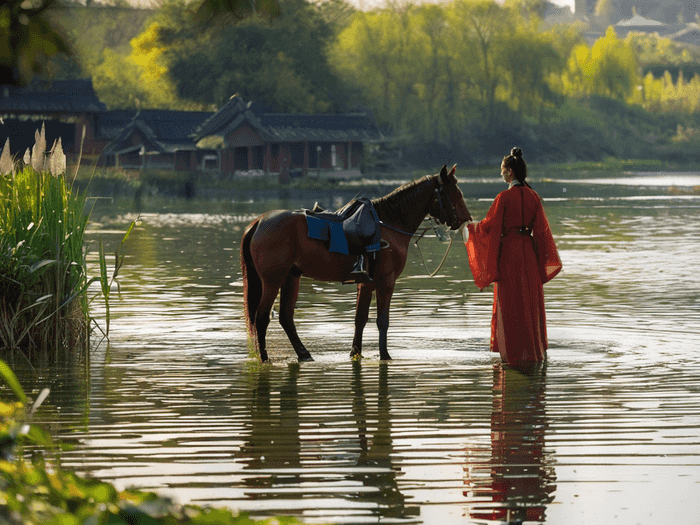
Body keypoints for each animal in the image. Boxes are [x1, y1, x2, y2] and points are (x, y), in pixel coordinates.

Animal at [239, 164, 470, 360]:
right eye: (454, 193)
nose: (465, 218)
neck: (389, 223)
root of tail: (259, 222)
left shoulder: (366, 284)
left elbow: (360, 319)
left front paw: (355, 353)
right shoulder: (386, 282)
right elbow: (382, 321)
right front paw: (385, 355)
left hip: (290, 277)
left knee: (286, 318)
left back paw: (304, 354)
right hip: (273, 281)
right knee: (261, 317)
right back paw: (265, 358)